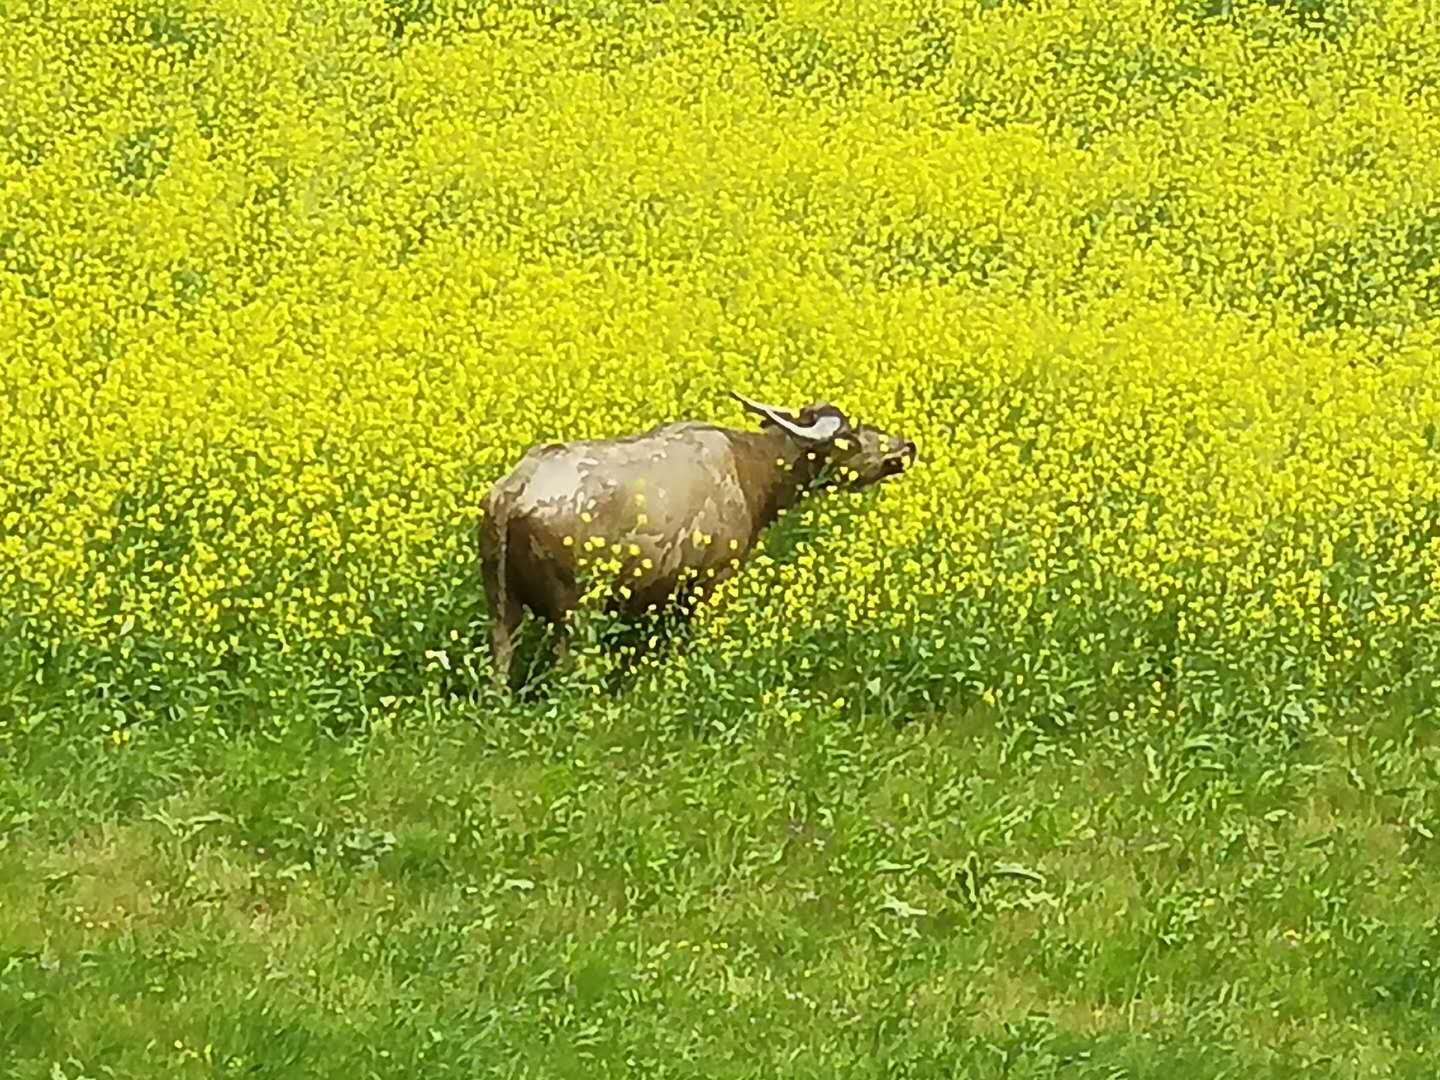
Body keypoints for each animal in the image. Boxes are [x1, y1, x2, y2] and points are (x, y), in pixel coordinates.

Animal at [478, 394, 915, 688]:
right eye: (850, 436)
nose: (906, 446)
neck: (748, 470)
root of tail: (512, 494)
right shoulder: (709, 582)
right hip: (576, 609)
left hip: (502, 605)